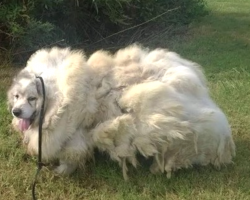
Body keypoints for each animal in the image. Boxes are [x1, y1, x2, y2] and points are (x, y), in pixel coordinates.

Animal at [6, 44, 235, 179]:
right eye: (16, 96)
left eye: (32, 98)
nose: (16, 112)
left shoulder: (76, 136)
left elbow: (71, 155)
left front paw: (62, 172)